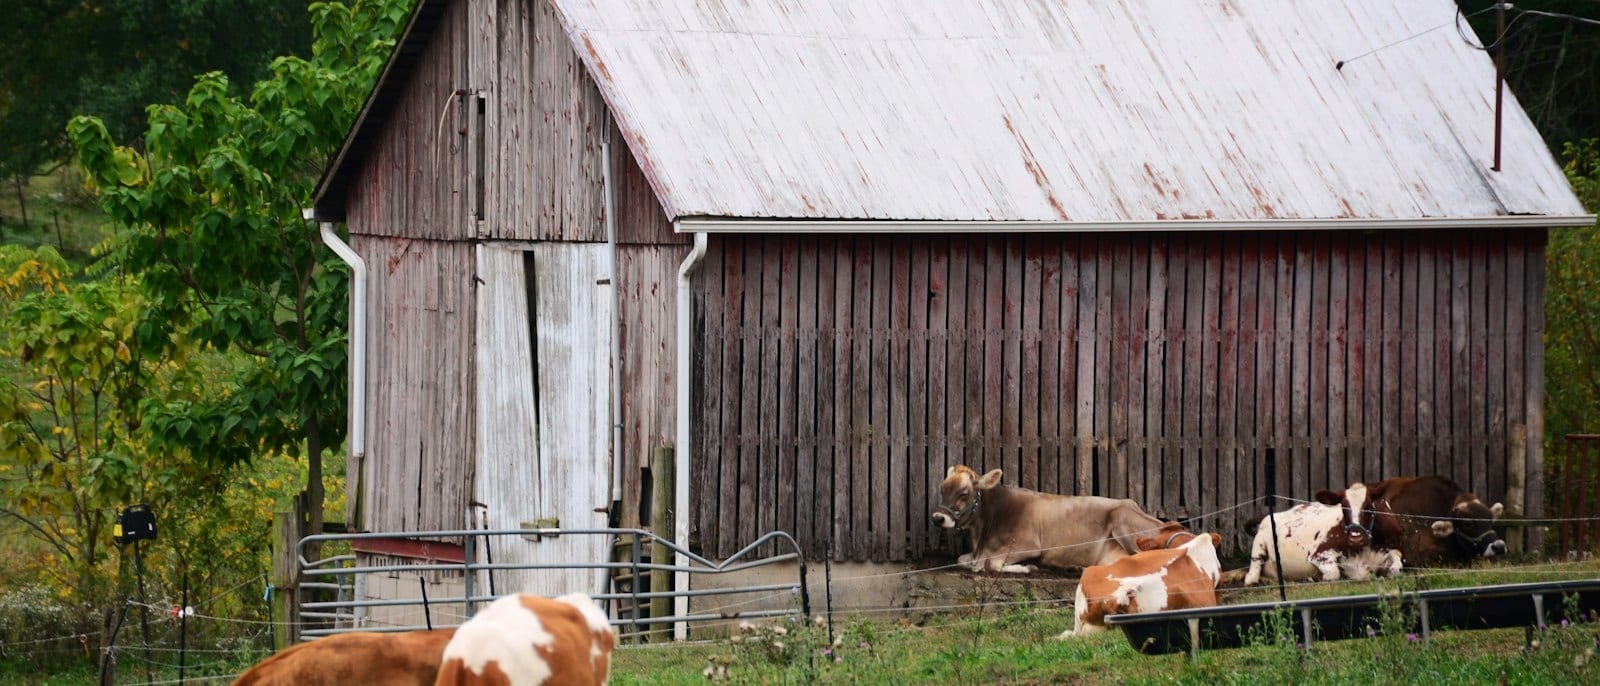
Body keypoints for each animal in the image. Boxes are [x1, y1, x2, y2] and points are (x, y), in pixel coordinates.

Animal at [931, 465, 1164, 573]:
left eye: (964, 493)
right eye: (942, 488)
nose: (938, 518)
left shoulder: (1030, 545)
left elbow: (993, 563)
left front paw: (1028, 568)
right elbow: (962, 560)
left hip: (1121, 517)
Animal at [1243, 482, 1404, 585]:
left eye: (1369, 507)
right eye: (1343, 507)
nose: (1355, 538)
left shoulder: (1391, 549)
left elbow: (1396, 566)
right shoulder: (1320, 553)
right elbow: (1333, 573)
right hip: (1259, 543)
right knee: (1252, 575)